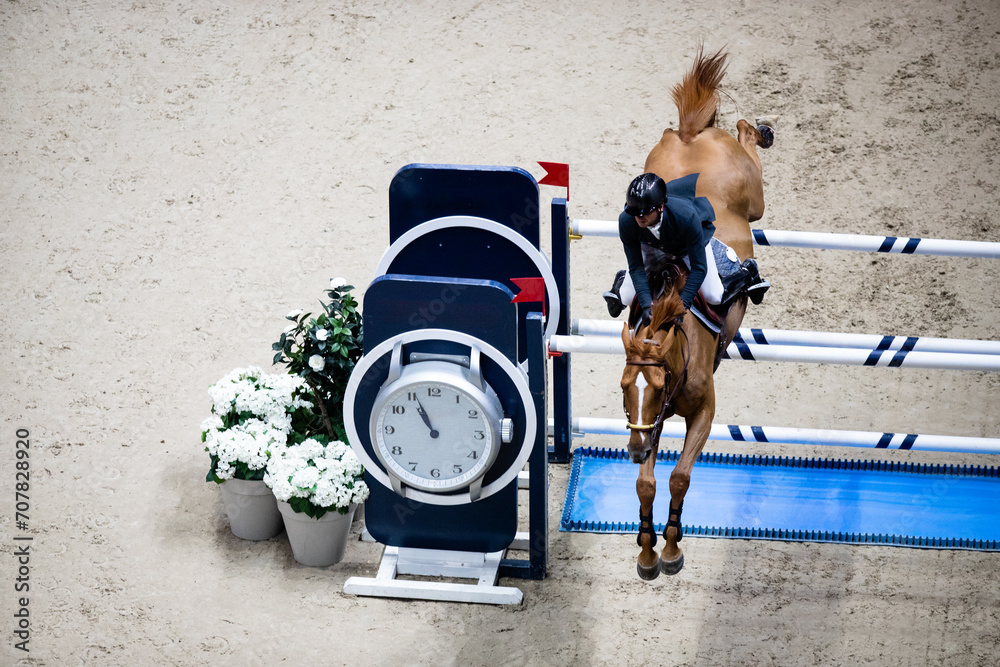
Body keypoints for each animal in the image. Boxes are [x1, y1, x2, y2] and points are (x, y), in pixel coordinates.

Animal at [620, 47, 773, 579]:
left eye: (659, 383)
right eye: (625, 388)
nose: (633, 450)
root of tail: (689, 136)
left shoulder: (703, 412)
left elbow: (681, 477)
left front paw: (670, 548)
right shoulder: (650, 421)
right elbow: (646, 483)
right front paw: (646, 551)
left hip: (753, 196)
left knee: (747, 143)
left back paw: (760, 129)